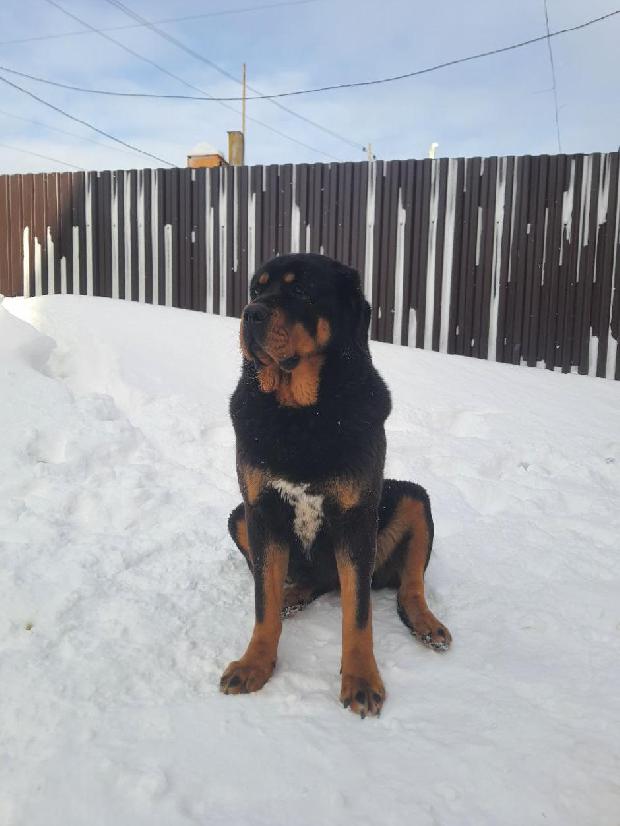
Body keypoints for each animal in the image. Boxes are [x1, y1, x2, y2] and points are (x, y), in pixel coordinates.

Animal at [220, 253, 451, 717]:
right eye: (257, 289)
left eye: (302, 290)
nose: (251, 313)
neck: (301, 414)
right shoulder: (260, 508)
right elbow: (262, 604)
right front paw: (254, 666)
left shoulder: (356, 517)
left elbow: (358, 614)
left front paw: (361, 680)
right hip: (238, 516)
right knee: (296, 583)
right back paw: (292, 595)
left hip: (411, 496)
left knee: (409, 586)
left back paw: (426, 624)